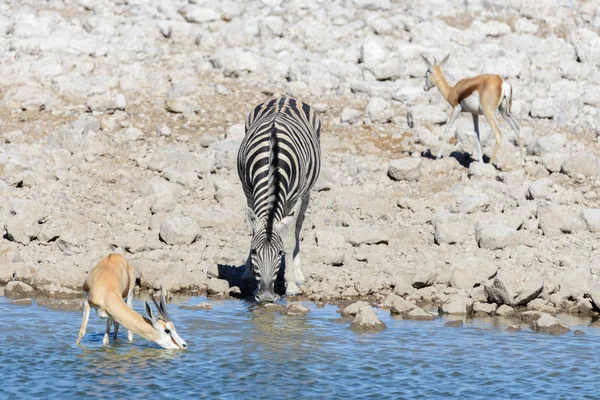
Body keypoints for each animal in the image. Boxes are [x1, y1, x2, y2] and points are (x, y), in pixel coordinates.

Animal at [237, 97, 322, 304]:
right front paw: (251, 279)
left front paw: (290, 286)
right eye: (254, 252)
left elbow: (289, 240)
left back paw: (298, 275)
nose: (266, 296)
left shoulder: (295, 199)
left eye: (280, 253)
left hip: (306, 194)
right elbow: (252, 231)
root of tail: (284, 98)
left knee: (297, 227)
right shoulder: (248, 191)